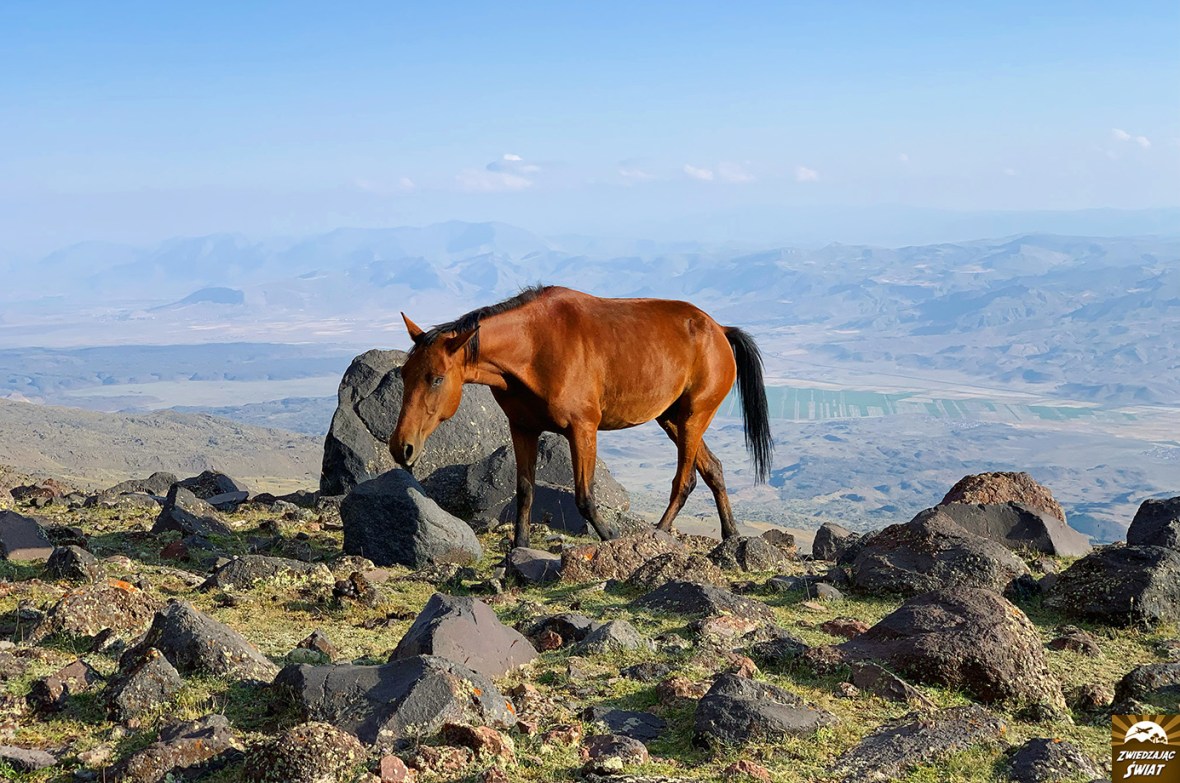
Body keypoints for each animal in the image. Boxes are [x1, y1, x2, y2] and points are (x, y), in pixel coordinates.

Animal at [389, 285, 773, 548]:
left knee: (685, 480)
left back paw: (660, 534)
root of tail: (719, 329)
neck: (534, 345)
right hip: (672, 419)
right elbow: (524, 490)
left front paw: (611, 538)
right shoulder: (523, 428)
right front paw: (519, 547)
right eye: (405, 374)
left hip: (694, 416)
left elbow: (585, 497)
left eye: (436, 378)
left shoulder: (582, 429)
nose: (401, 447)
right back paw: (731, 535)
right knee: (713, 470)